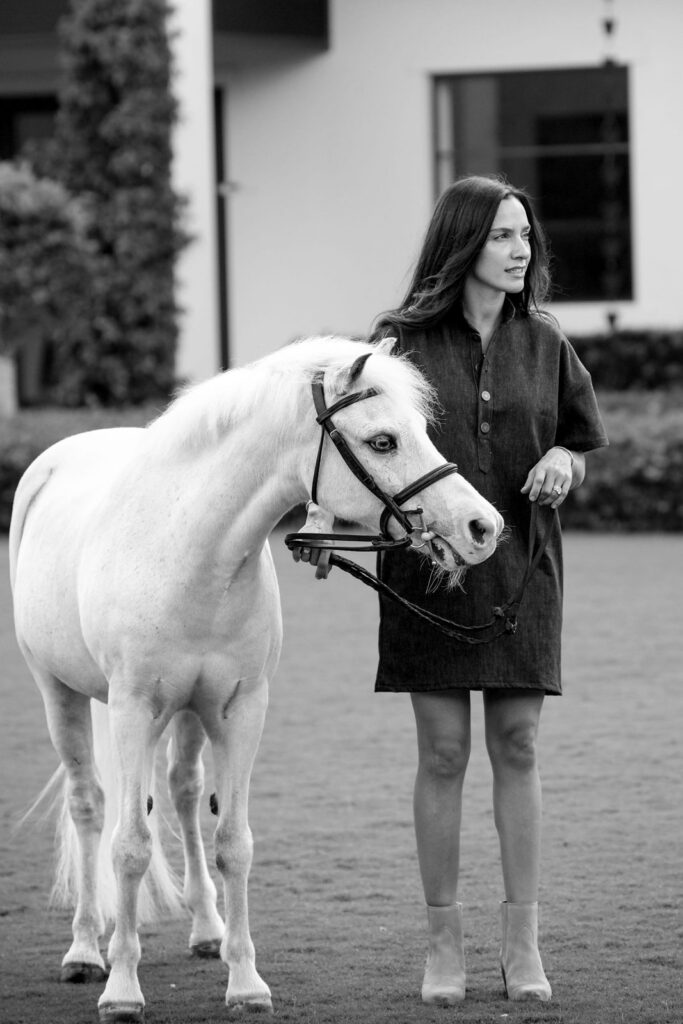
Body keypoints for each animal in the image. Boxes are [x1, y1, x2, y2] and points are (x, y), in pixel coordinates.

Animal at [9, 335, 503, 1022]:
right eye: (382, 441)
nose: (483, 527)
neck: (188, 549)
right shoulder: (131, 709)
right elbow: (129, 845)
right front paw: (123, 989)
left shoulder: (240, 710)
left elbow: (233, 843)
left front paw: (244, 981)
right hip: (61, 694)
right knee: (89, 807)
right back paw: (85, 949)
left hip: (188, 715)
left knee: (184, 793)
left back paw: (205, 929)